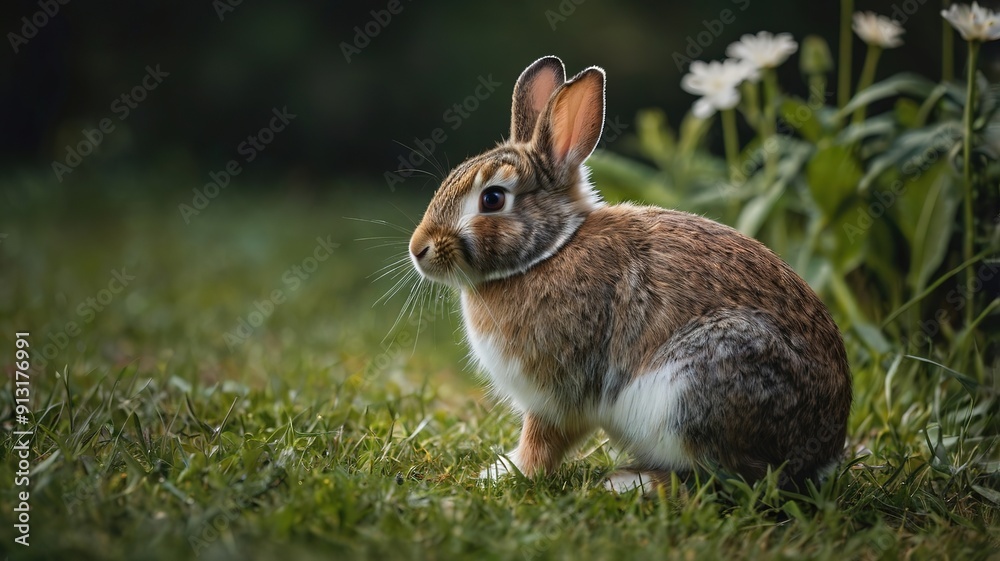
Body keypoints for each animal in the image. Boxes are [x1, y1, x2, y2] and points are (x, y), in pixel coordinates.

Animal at [407, 55, 852, 492]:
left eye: (493, 199)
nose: (418, 249)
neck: (549, 251)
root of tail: (819, 453)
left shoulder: (559, 394)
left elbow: (543, 439)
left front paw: (507, 473)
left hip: (698, 387)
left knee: (740, 477)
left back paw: (632, 482)